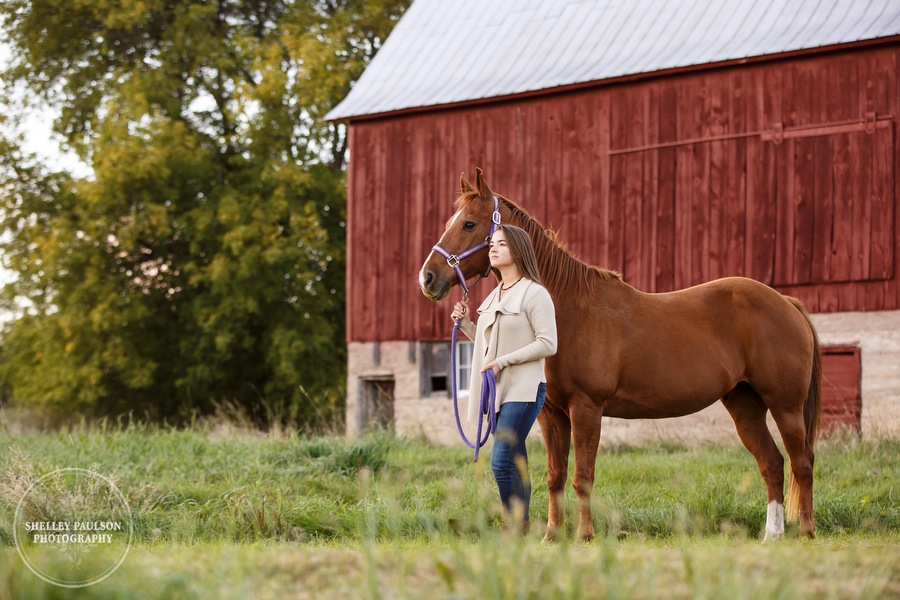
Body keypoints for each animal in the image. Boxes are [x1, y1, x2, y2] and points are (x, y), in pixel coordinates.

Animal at [418, 166, 820, 540]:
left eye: (469, 223)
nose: (427, 278)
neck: (566, 310)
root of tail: (786, 302)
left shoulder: (586, 408)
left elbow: (583, 476)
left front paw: (585, 535)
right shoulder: (551, 414)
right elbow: (555, 476)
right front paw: (552, 536)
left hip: (785, 406)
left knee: (801, 462)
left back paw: (806, 531)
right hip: (745, 405)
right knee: (772, 463)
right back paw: (772, 534)